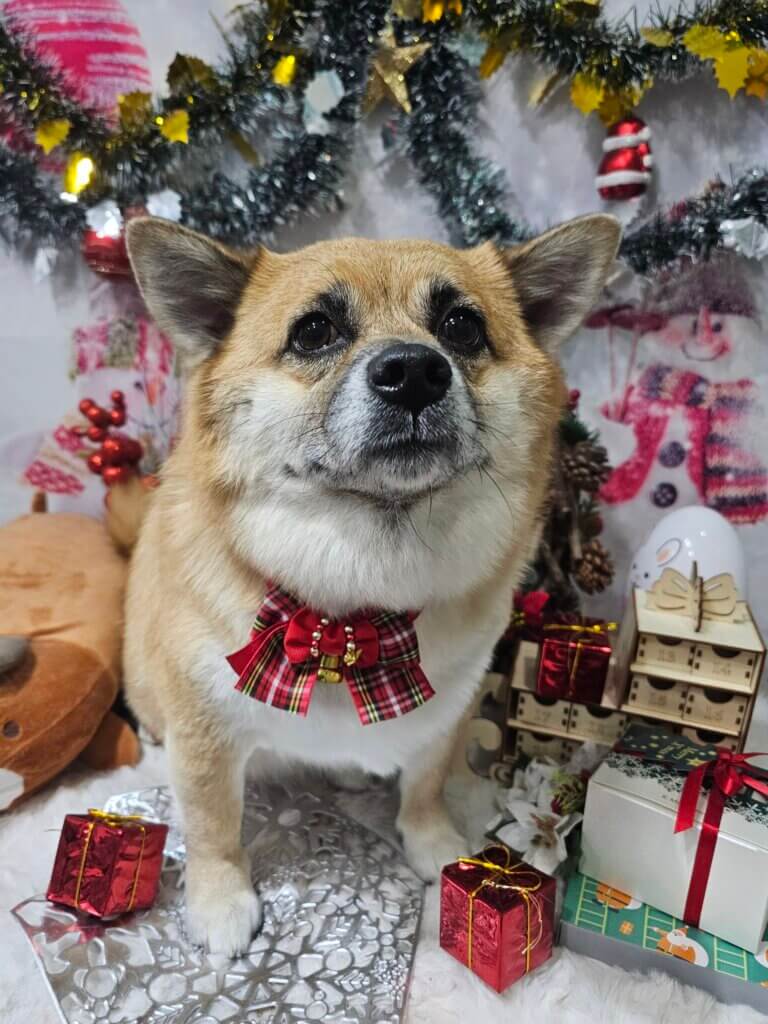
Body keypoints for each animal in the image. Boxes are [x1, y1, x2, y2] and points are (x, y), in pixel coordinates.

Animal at [123, 213, 620, 956]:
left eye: (462, 326)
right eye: (314, 331)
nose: (413, 370)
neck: (353, 608)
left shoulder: (447, 708)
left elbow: (426, 786)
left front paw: (435, 847)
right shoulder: (202, 726)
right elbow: (212, 824)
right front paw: (218, 903)